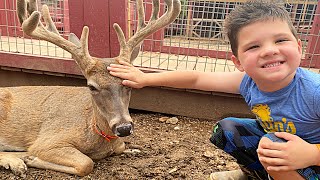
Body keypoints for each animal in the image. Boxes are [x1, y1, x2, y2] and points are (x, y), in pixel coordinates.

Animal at [0, 0, 180, 177]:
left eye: (128, 83)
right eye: (91, 86)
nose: (124, 128)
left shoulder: (119, 144)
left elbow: (120, 147)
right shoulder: (47, 140)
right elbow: (86, 163)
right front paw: (31, 158)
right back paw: (18, 162)